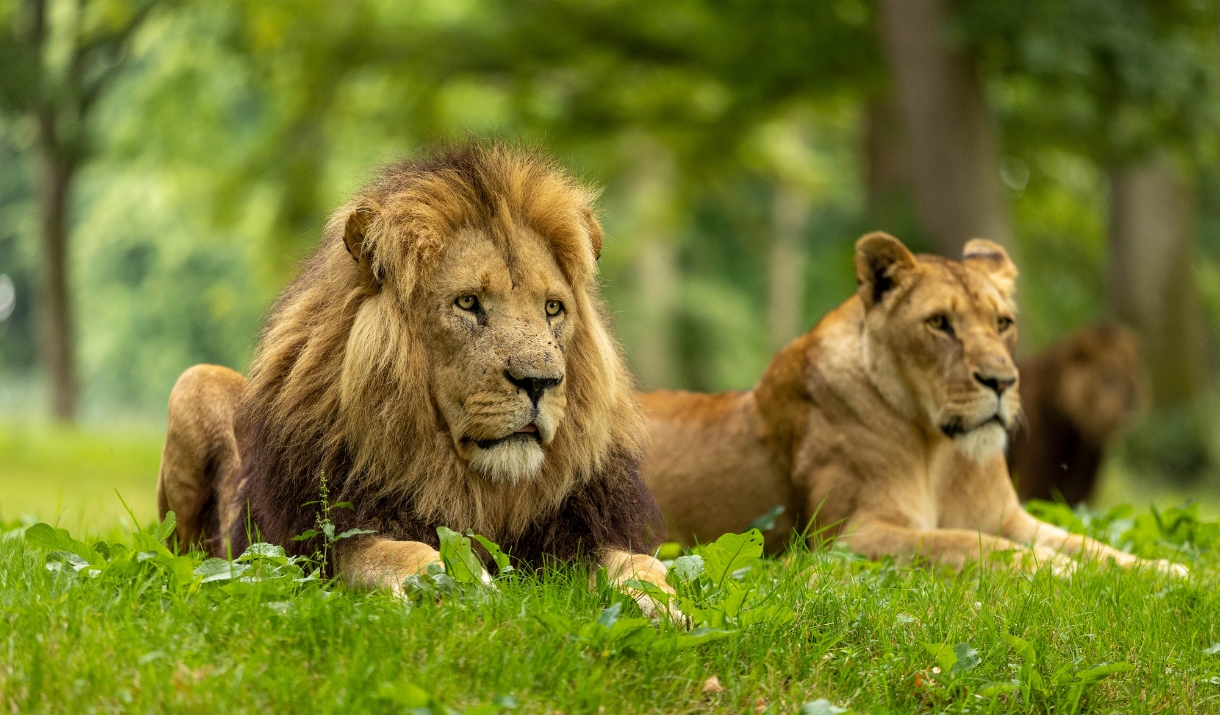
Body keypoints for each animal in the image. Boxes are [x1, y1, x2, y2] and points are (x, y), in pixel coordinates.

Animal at [156, 140, 673, 612]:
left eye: (552, 309)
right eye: (468, 302)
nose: (540, 382)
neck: (484, 493)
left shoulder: (578, 532)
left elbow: (638, 562)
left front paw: (661, 605)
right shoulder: (324, 544)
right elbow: (405, 552)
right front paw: (463, 587)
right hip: (193, 385)